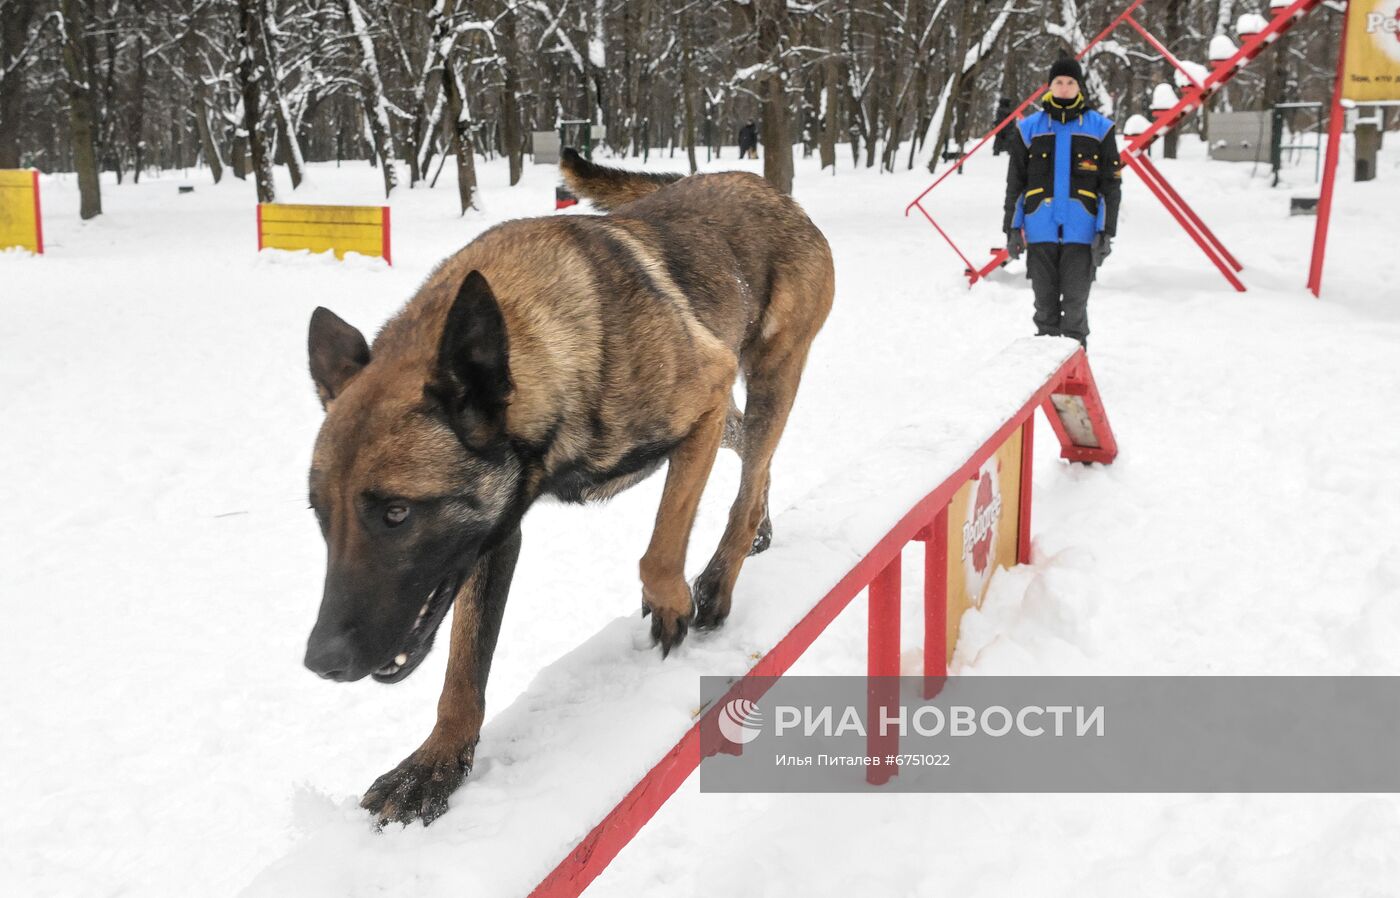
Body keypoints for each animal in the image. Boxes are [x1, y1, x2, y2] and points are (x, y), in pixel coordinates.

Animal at [303, 148, 828, 829]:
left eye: (396, 513)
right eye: (320, 517)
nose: (321, 661)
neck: (547, 345)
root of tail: (763, 185)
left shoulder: (704, 397)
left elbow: (660, 548)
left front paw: (672, 603)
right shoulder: (494, 537)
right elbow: (463, 669)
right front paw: (435, 764)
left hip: (772, 378)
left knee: (748, 475)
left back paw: (718, 577)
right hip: (739, 411)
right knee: (749, 464)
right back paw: (757, 529)